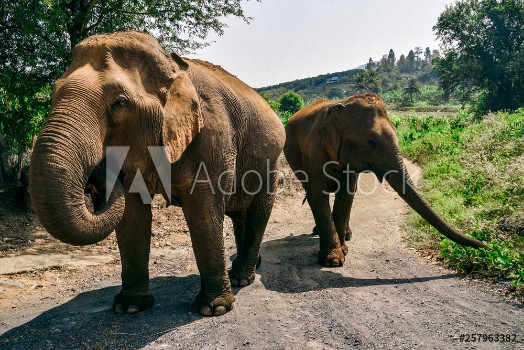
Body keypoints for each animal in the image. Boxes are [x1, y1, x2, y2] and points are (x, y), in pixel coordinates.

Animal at [29, 31, 284, 318]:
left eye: (120, 103)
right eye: (53, 94)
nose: (99, 173)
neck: (171, 66)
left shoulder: (213, 135)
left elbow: (203, 210)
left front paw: (213, 309)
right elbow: (132, 213)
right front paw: (129, 307)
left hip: (269, 161)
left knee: (257, 212)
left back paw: (241, 278)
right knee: (240, 214)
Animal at [284, 94, 490, 266]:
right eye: (371, 141)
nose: (488, 247)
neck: (342, 105)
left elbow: (347, 195)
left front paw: (342, 251)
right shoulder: (313, 152)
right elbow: (318, 196)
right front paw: (333, 260)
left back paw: (346, 235)